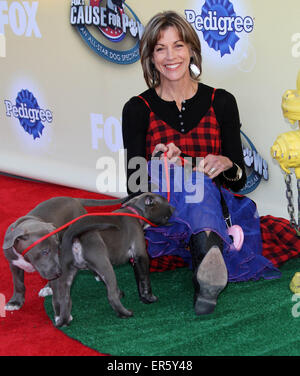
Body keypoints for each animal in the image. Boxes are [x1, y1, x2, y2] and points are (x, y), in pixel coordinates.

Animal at [50, 192, 175, 328]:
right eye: (166, 202)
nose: (174, 208)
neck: (135, 211)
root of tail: (75, 236)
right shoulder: (141, 255)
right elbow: (145, 279)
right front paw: (150, 298)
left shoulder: (134, 261)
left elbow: (138, 280)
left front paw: (142, 297)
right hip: (106, 267)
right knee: (111, 296)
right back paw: (125, 313)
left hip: (67, 273)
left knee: (65, 298)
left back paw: (63, 321)